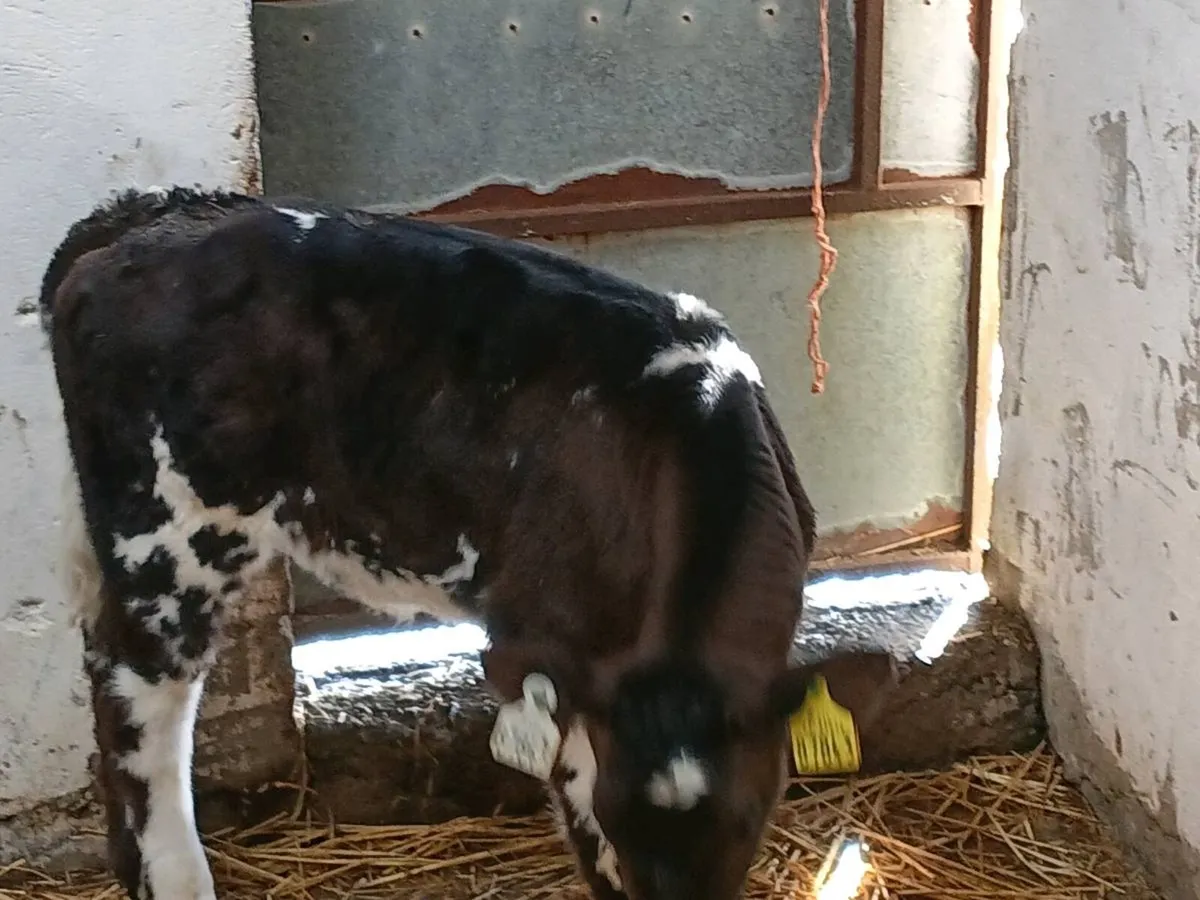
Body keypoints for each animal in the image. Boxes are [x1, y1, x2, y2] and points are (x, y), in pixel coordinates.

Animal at [39, 186, 898, 900]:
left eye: (751, 820)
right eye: (620, 820)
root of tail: (140, 220)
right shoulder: (553, 646)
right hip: (170, 535)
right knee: (142, 703)